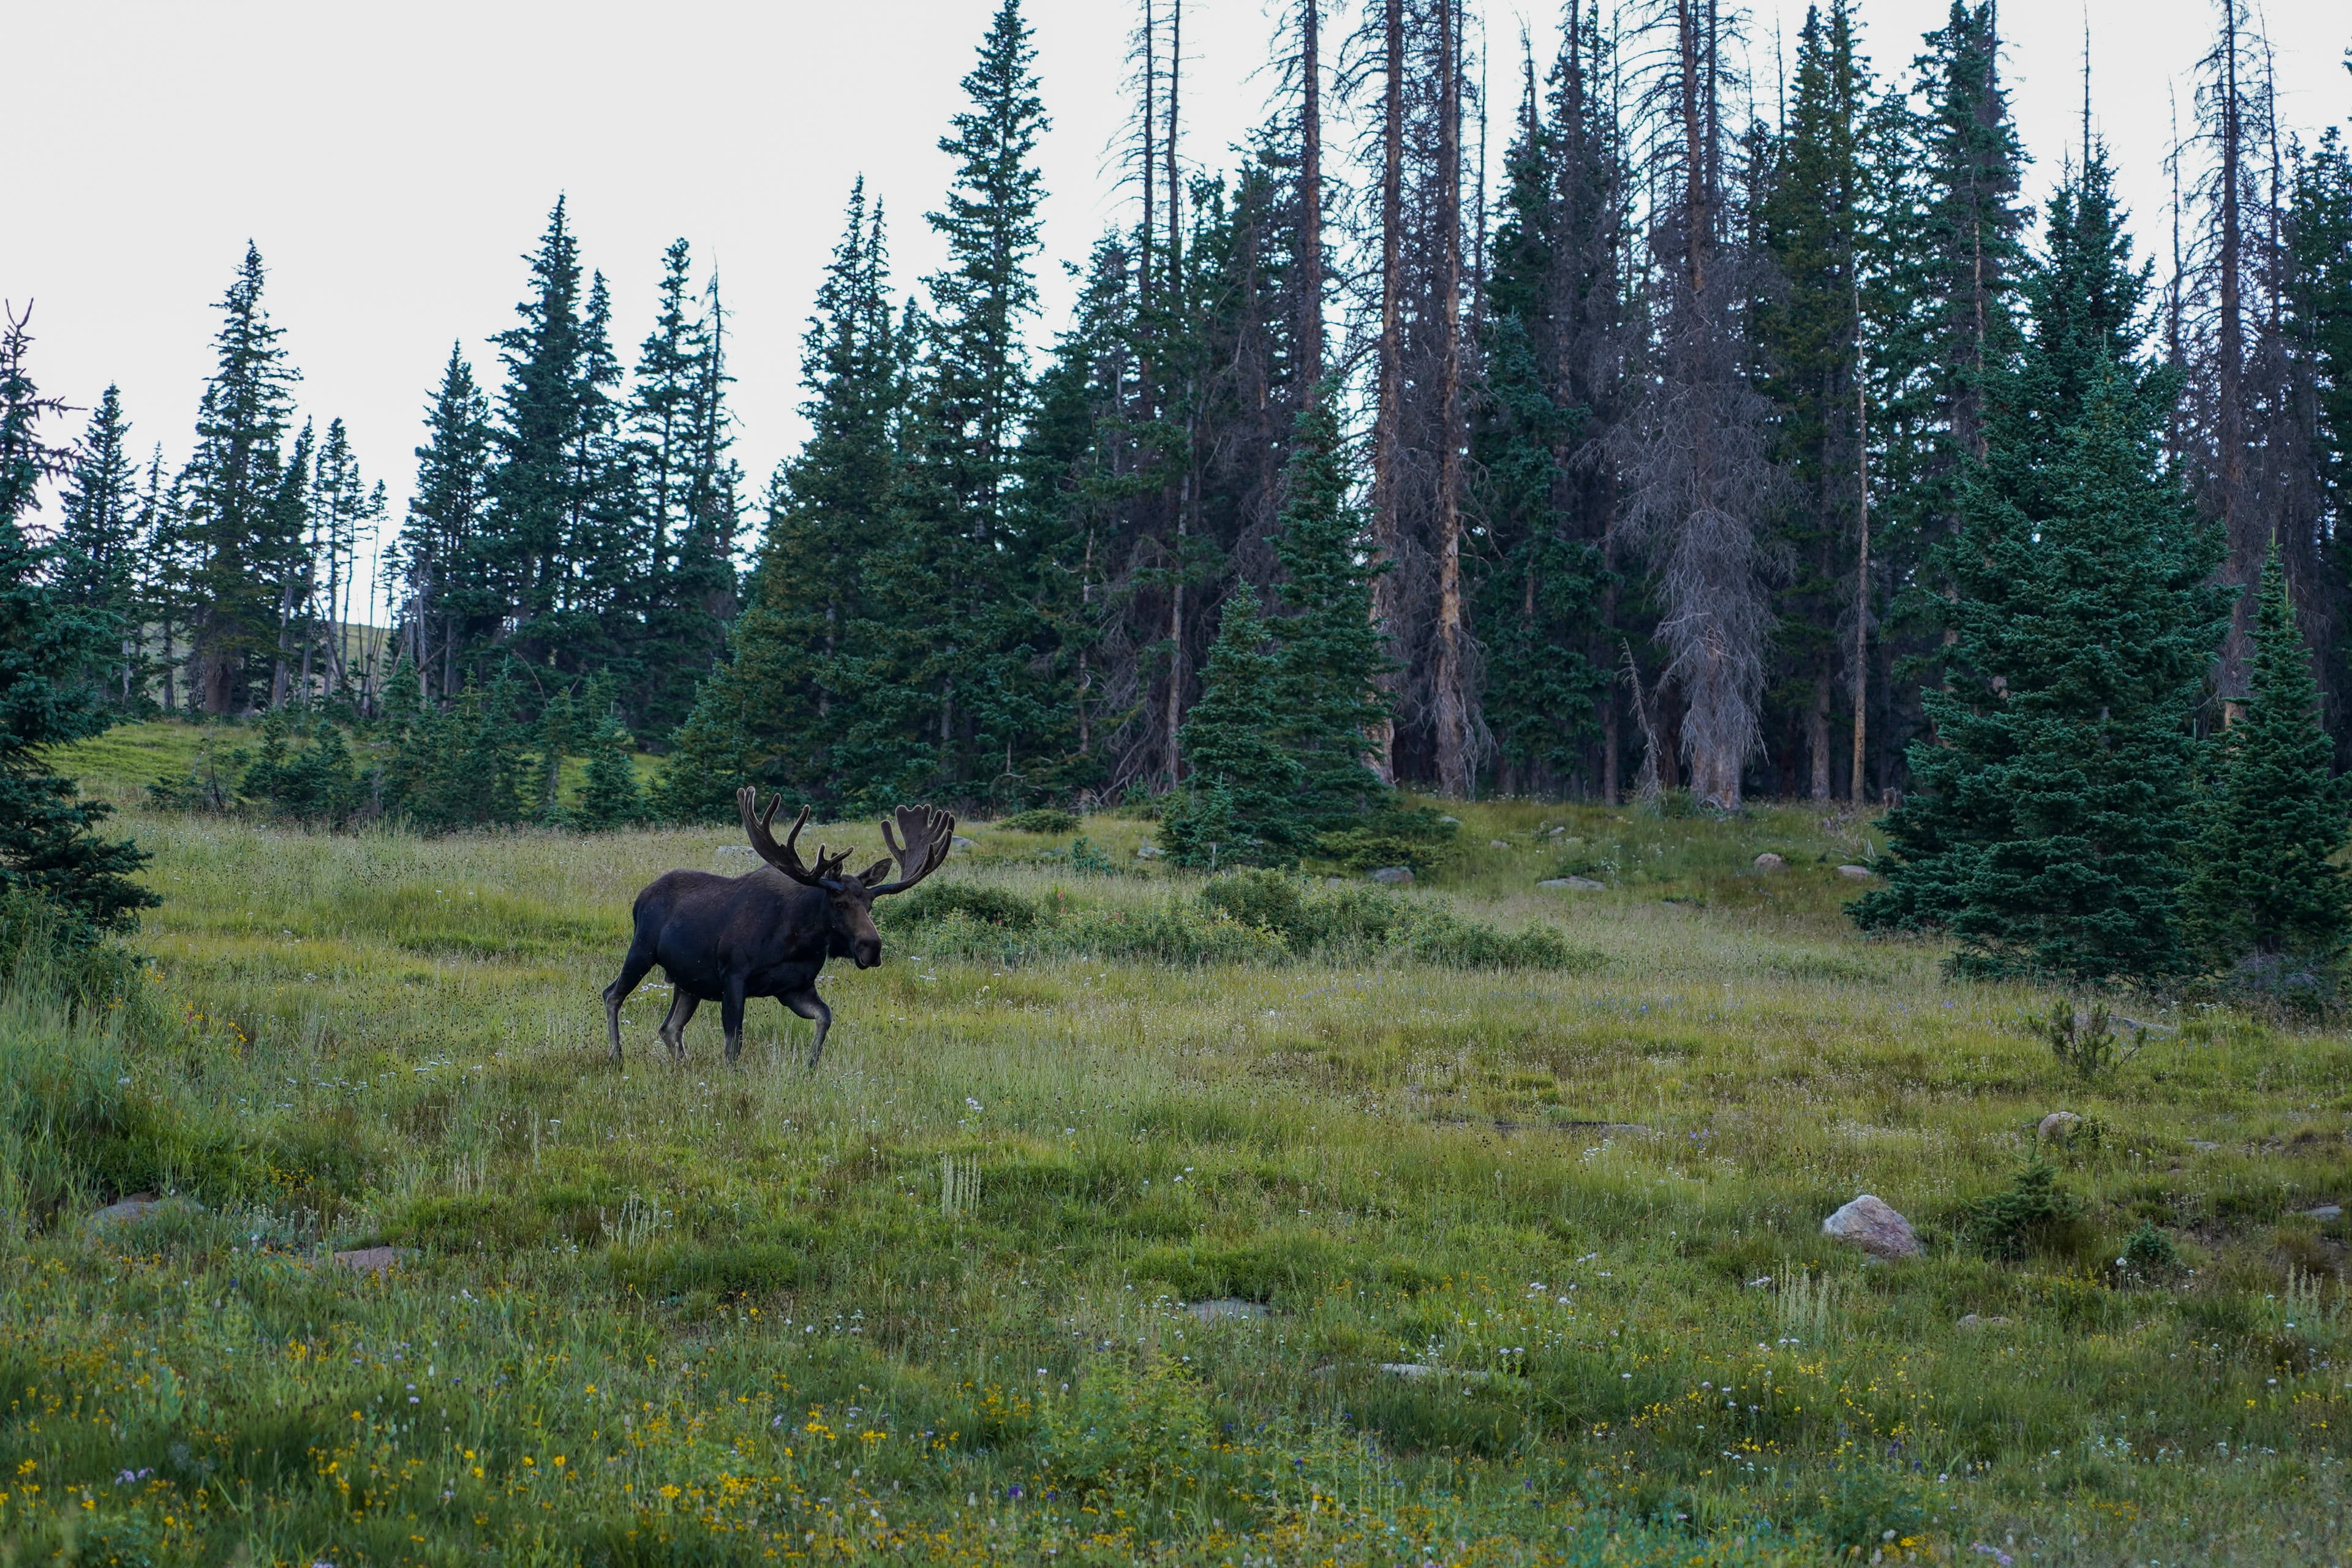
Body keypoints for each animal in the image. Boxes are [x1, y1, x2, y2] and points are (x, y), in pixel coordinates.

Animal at [602, 787, 956, 1067]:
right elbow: (734, 1044)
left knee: (670, 1027)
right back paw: (617, 1055)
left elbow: (825, 1017)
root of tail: (639, 898)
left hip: (688, 982)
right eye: (840, 903)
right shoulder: (734, 976)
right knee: (612, 994)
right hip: (642, 951)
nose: (872, 948)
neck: (797, 942)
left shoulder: (794, 987)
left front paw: (810, 1065)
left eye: (870, 905)